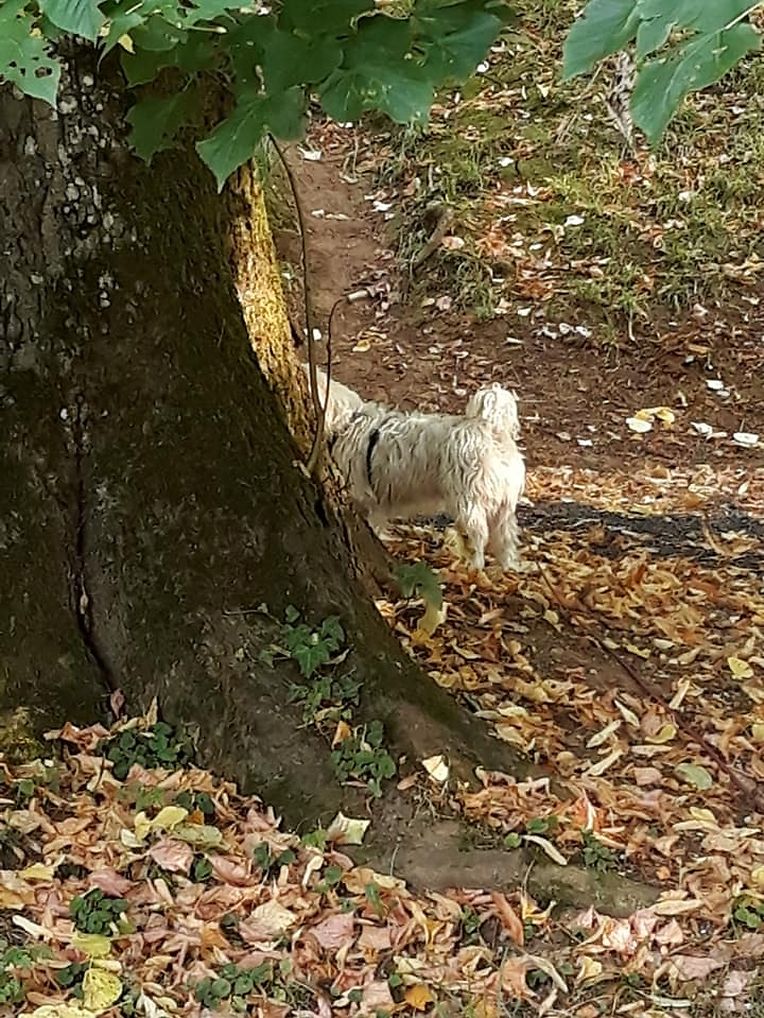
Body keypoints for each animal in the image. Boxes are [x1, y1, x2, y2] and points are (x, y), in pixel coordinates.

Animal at [329, 382, 525, 571]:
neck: (349, 423)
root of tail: (491, 428)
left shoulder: (363, 496)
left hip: (469, 502)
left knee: (479, 535)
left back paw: (475, 565)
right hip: (504, 505)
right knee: (506, 537)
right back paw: (508, 566)